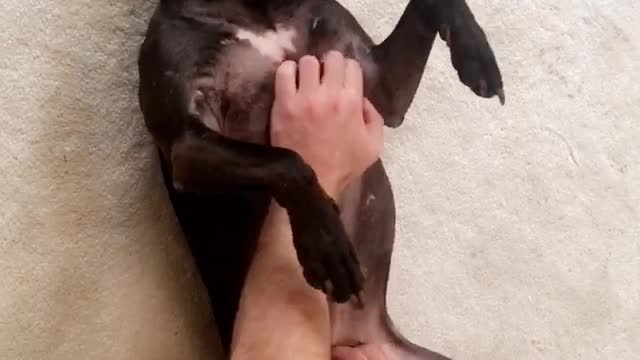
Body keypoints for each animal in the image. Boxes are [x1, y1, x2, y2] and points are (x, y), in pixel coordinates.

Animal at [138, 0, 502, 358]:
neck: (261, 10)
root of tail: (354, 335)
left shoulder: (381, 88)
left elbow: (435, 2)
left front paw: (476, 51)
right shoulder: (185, 144)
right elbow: (289, 161)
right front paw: (327, 248)